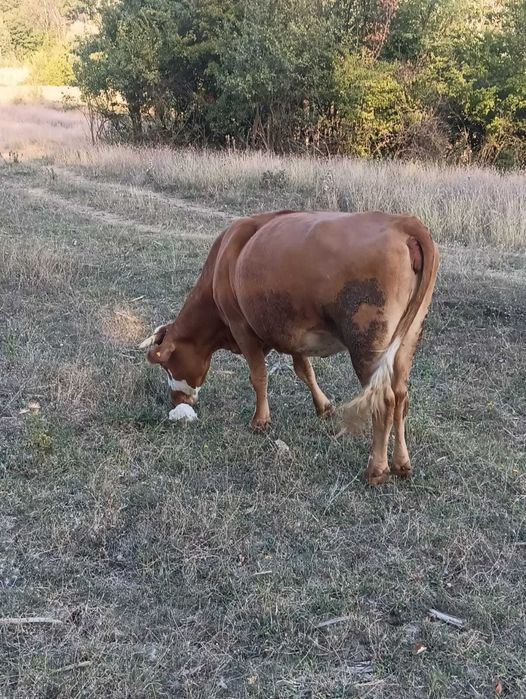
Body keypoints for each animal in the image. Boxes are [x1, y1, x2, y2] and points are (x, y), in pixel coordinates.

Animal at [140, 210, 439, 485]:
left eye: (167, 367)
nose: (176, 400)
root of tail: (402, 222)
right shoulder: (291, 332)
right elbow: (304, 370)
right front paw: (323, 407)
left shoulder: (241, 328)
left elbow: (259, 376)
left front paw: (260, 421)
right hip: (407, 342)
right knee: (400, 397)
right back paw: (401, 464)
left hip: (367, 345)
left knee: (384, 400)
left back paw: (377, 470)